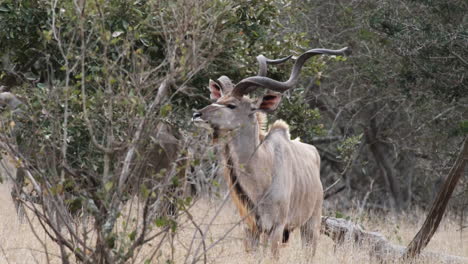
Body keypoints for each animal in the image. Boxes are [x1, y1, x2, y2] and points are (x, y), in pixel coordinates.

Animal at [192, 47, 350, 256]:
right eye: (218, 99)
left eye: (232, 105)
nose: (196, 114)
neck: (262, 174)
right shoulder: (249, 227)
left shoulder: (277, 227)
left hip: (311, 223)